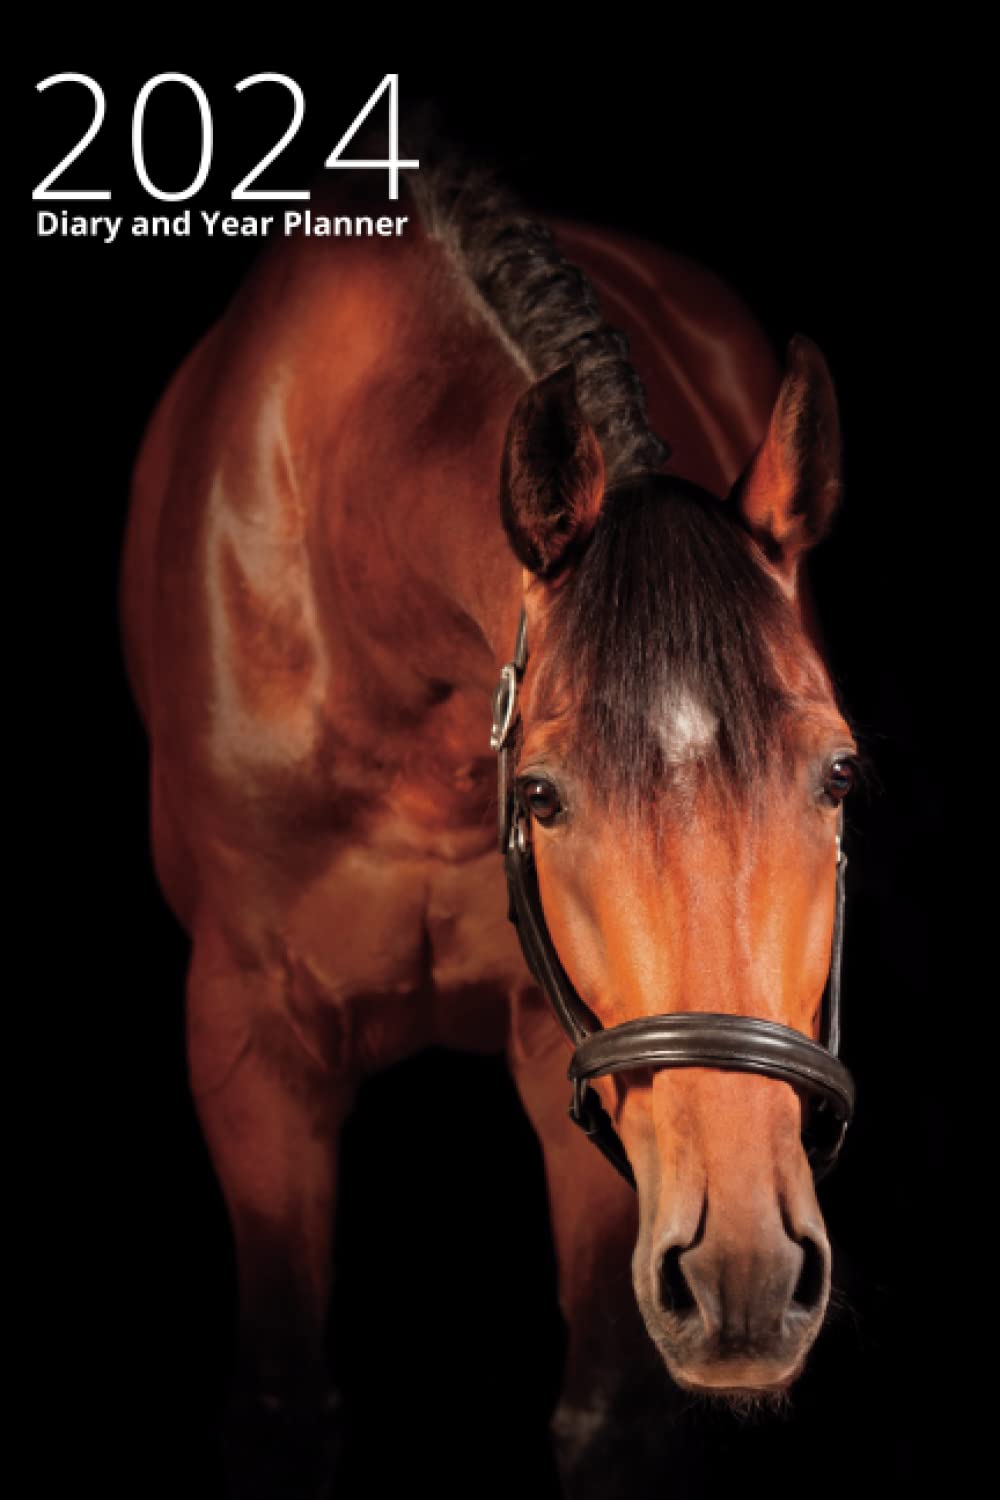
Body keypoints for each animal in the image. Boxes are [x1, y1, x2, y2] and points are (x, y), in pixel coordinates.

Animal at [119, 136, 857, 1498]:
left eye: (835, 776)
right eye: (542, 797)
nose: (745, 1279)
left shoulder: (561, 1050)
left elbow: (604, 1418)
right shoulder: (248, 1041)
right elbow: (283, 1404)